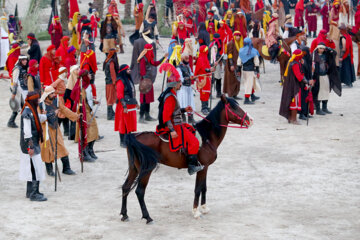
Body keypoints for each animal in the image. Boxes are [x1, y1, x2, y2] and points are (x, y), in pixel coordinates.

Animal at [121, 95, 253, 223]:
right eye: (233, 108)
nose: (250, 120)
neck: (207, 137)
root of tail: (134, 137)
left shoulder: (205, 167)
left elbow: (204, 187)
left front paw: (204, 208)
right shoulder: (202, 168)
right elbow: (198, 189)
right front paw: (196, 212)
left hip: (134, 168)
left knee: (125, 187)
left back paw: (124, 215)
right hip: (146, 170)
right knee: (140, 191)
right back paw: (148, 217)